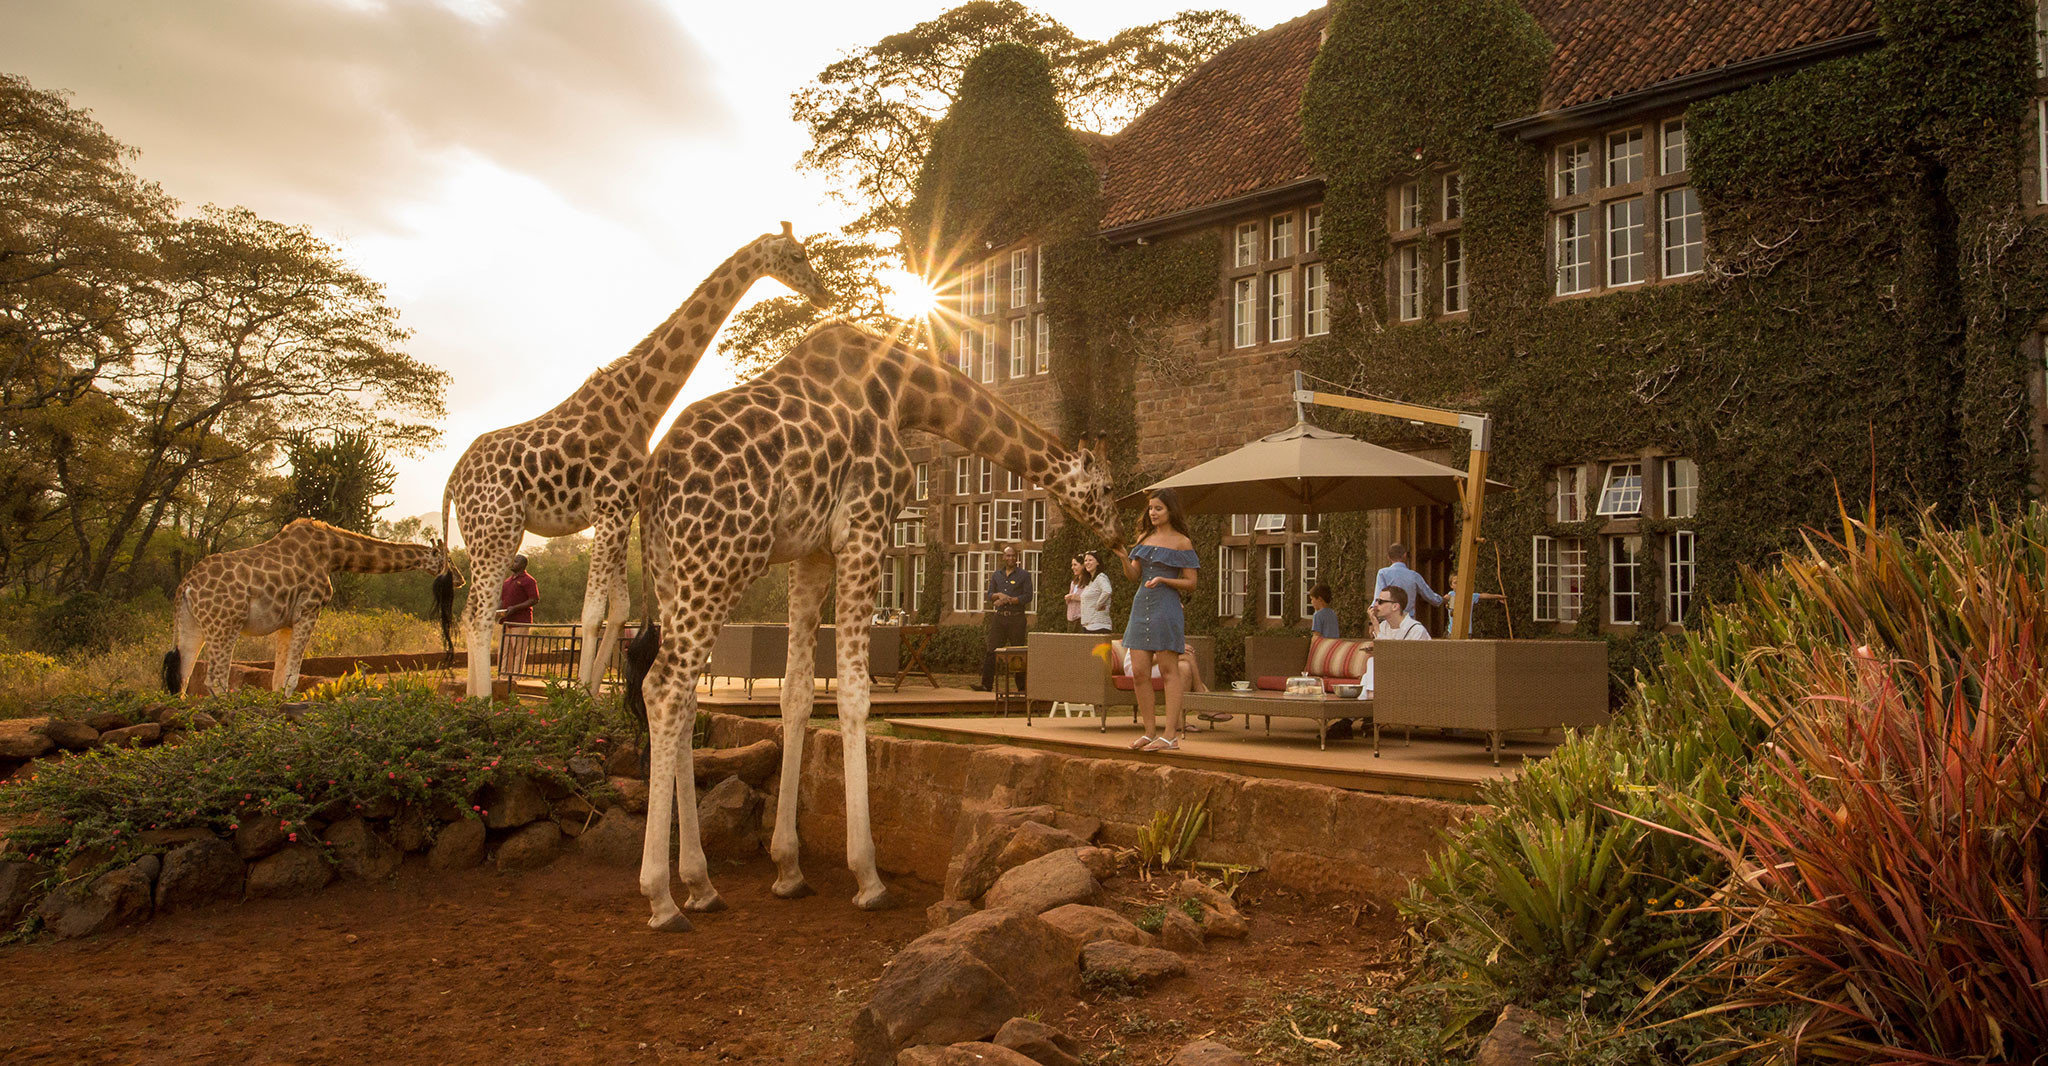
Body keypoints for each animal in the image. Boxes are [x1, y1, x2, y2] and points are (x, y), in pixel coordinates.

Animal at [166, 517, 456, 699]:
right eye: (449, 561)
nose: (462, 579)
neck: (333, 554)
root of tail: (186, 586)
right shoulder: (309, 609)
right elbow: (292, 675)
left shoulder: (286, 622)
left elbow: (278, 676)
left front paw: (278, 704)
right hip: (225, 624)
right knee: (214, 679)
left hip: (192, 625)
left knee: (182, 677)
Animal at [442, 224, 831, 695]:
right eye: (796, 256)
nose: (823, 294)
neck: (640, 405)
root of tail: (452, 480)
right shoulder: (609, 509)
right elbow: (591, 613)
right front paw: (576, 698)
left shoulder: (620, 511)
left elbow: (619, 611)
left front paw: (591, 697)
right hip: (496, 527)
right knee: (480, 615)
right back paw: (483, 703)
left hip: (491, 532)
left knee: (470, 612)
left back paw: (470, 698)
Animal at [626, 319, 1130, 924]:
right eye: (1106, 488)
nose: (1123, 539)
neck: (905, 393)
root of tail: (653, 477)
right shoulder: (864, 530)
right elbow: (853, 694)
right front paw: (868, 877)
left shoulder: (813, 552)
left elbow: (797, 693)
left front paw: (788, 868)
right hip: (722, 559)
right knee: (665, 688)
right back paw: (660, 896)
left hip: (670, 571)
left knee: (683, 696)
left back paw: (701, 884)